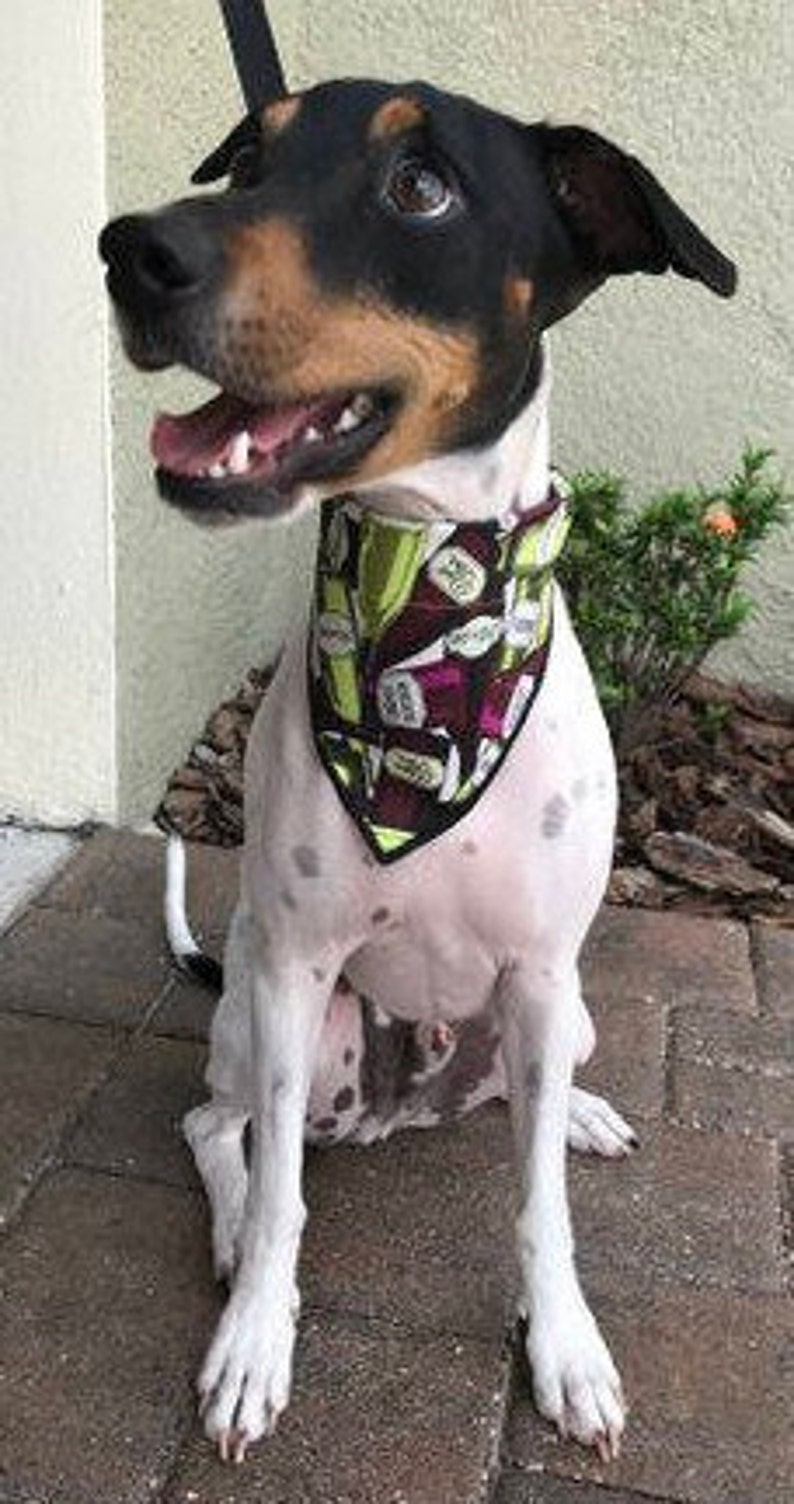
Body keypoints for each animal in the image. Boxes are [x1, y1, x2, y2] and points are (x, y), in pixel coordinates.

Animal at [100, 73, 736, 1467]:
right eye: (249, 162)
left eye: (420, 186)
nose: (131, 250)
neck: (417, 595)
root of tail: (407, 1100)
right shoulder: (294, 968)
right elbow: (281, 1202)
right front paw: (252, 1345)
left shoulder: (544, 973)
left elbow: (539, 1210)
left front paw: (564, 1349)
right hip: (280, 1020)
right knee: (219, 1128)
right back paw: (230, 1230)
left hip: (558, 1009)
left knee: (527, 1104)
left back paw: (580, 1113)